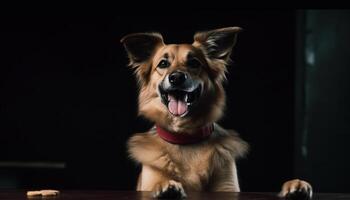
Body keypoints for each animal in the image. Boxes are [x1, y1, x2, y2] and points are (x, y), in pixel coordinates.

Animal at [120, 26, 312, 198]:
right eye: (163, 64)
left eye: (194, 63)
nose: (176, 77)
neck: (185, 137)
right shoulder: (149, 180)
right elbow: (158, 183)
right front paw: (166, 186)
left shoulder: (228, 188)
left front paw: (294, 186)